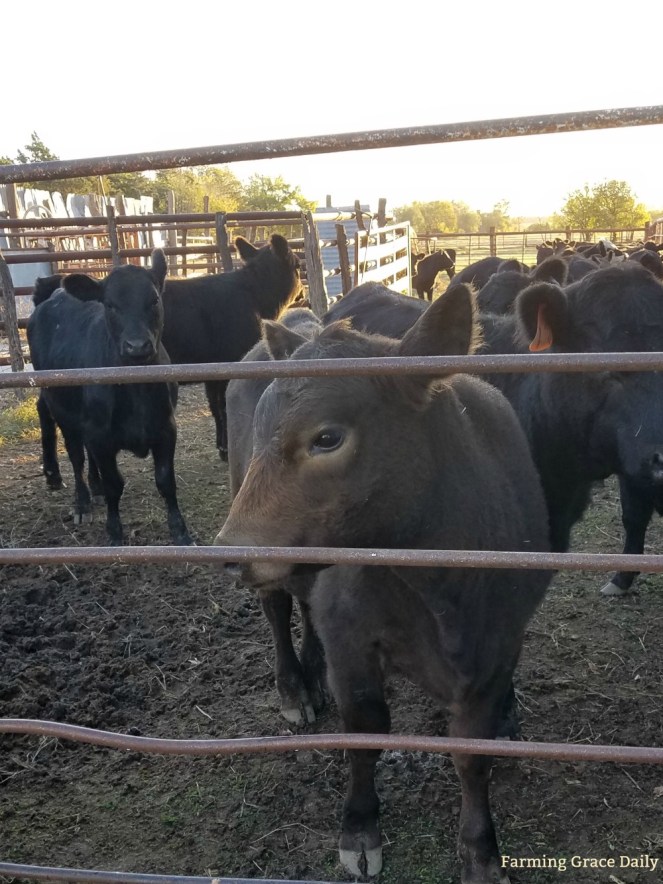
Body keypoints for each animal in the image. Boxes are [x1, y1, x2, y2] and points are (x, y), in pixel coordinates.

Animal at [27, 251, 191, 547]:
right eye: (110, 305)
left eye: (154, 300)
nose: (137, 346)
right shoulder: (101, 435)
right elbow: (115, 484)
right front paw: (114, 533)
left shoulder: (166, 429)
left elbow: (165, 481)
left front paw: (180, 532)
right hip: (64, 413)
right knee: (76, 456)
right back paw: (82, 501)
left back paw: (96, 487)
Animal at [216, 288, 552, 882]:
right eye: (260, 433)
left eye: (327, 437)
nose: (232, 550)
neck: (438, 590)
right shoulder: (352, 638)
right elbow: (366, 730)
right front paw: (359, 827)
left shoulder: (500, 643)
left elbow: (472, 753)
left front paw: (481, 848)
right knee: (278, 609)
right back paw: (295, 687)